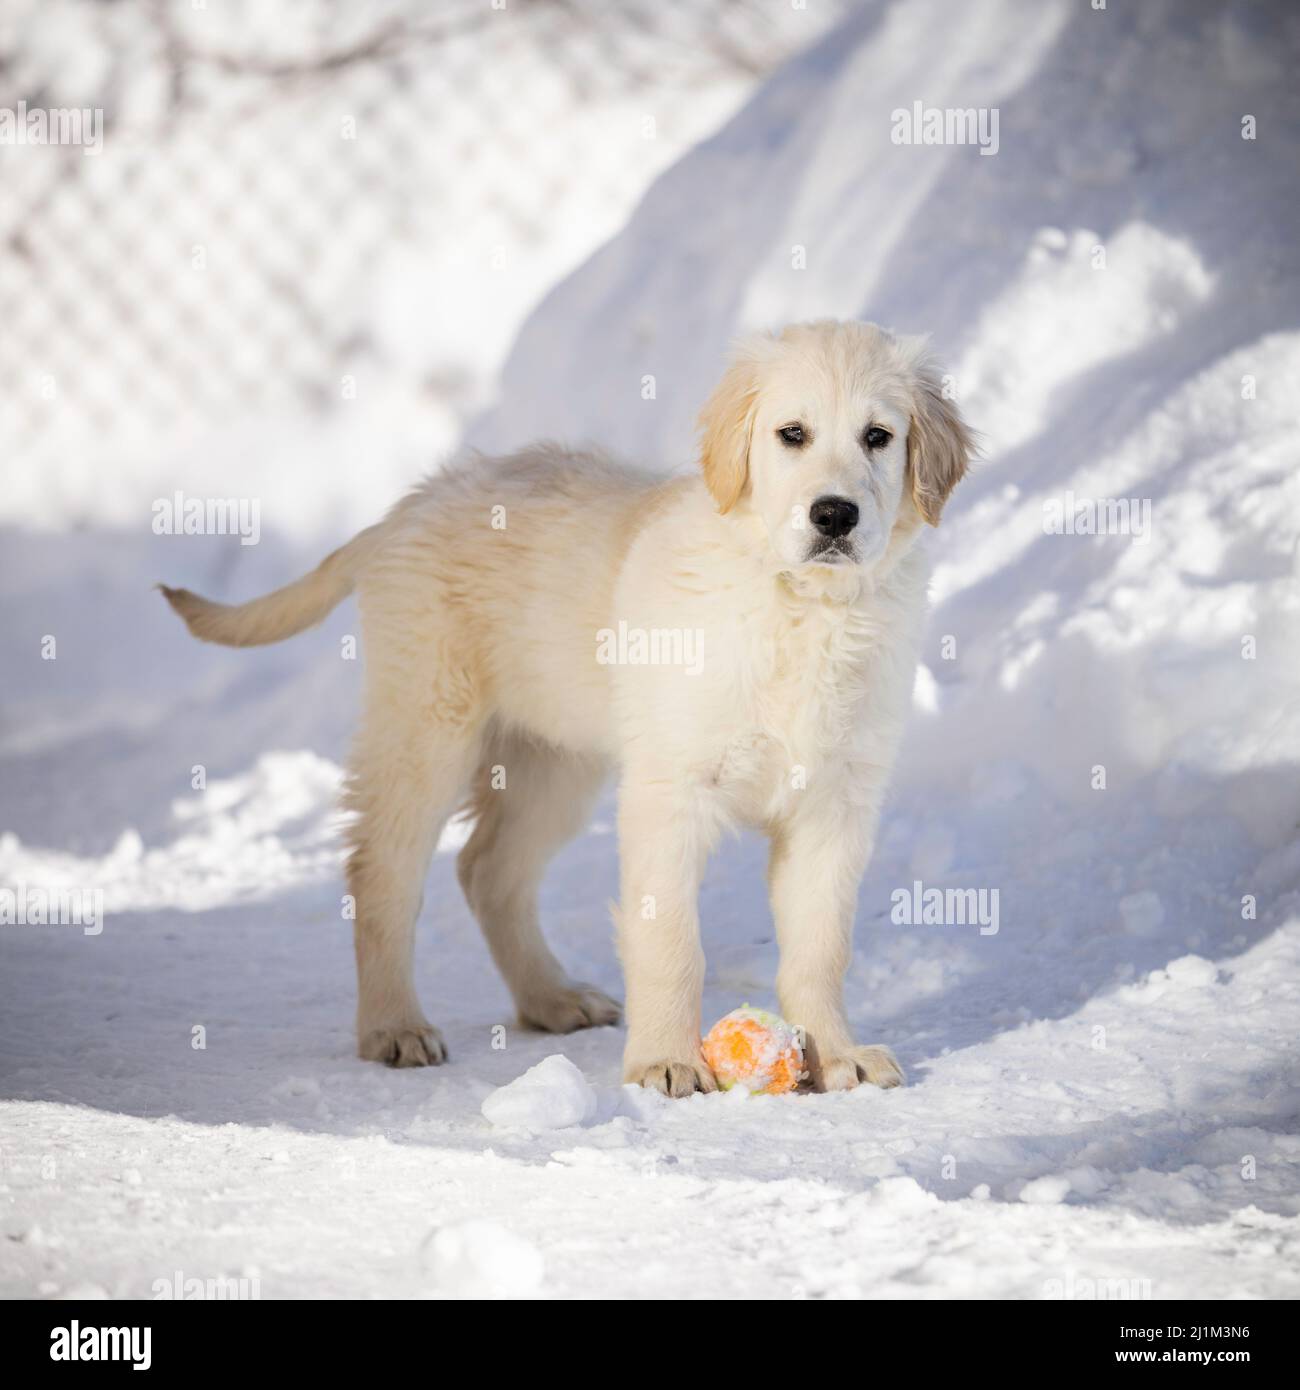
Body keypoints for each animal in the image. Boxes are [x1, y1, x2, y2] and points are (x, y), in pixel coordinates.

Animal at [162, 322, 973, 1095]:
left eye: (878, 436)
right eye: (792, 434)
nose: (834, 515)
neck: (801, 606)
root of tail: (412, 503)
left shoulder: (836, 802)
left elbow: (821, 946)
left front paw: (837, 1056)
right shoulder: (669, 790)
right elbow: (670, 939)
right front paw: (664, 1063)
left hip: (553, 760)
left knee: (488, 870)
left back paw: (550, 1000)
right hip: (426, 724)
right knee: (383, 872)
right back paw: (394, 1027)